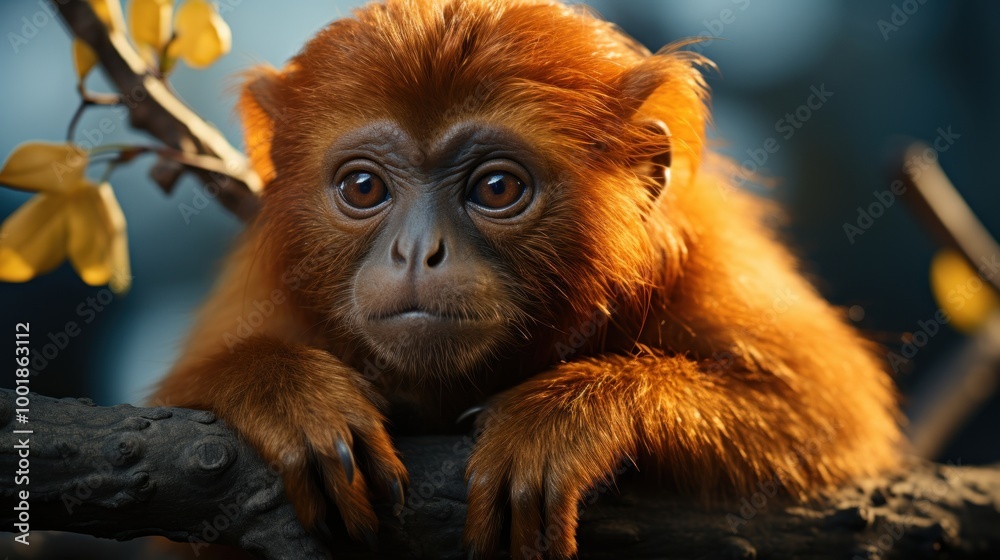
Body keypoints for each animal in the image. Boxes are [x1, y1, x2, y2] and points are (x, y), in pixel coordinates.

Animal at [153, 0, 903, 557]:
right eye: (363, 187)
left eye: (497, 188)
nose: (418, 251)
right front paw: (286, 391)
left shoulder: (704, 258)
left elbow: (829, 412)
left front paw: (567, 418)